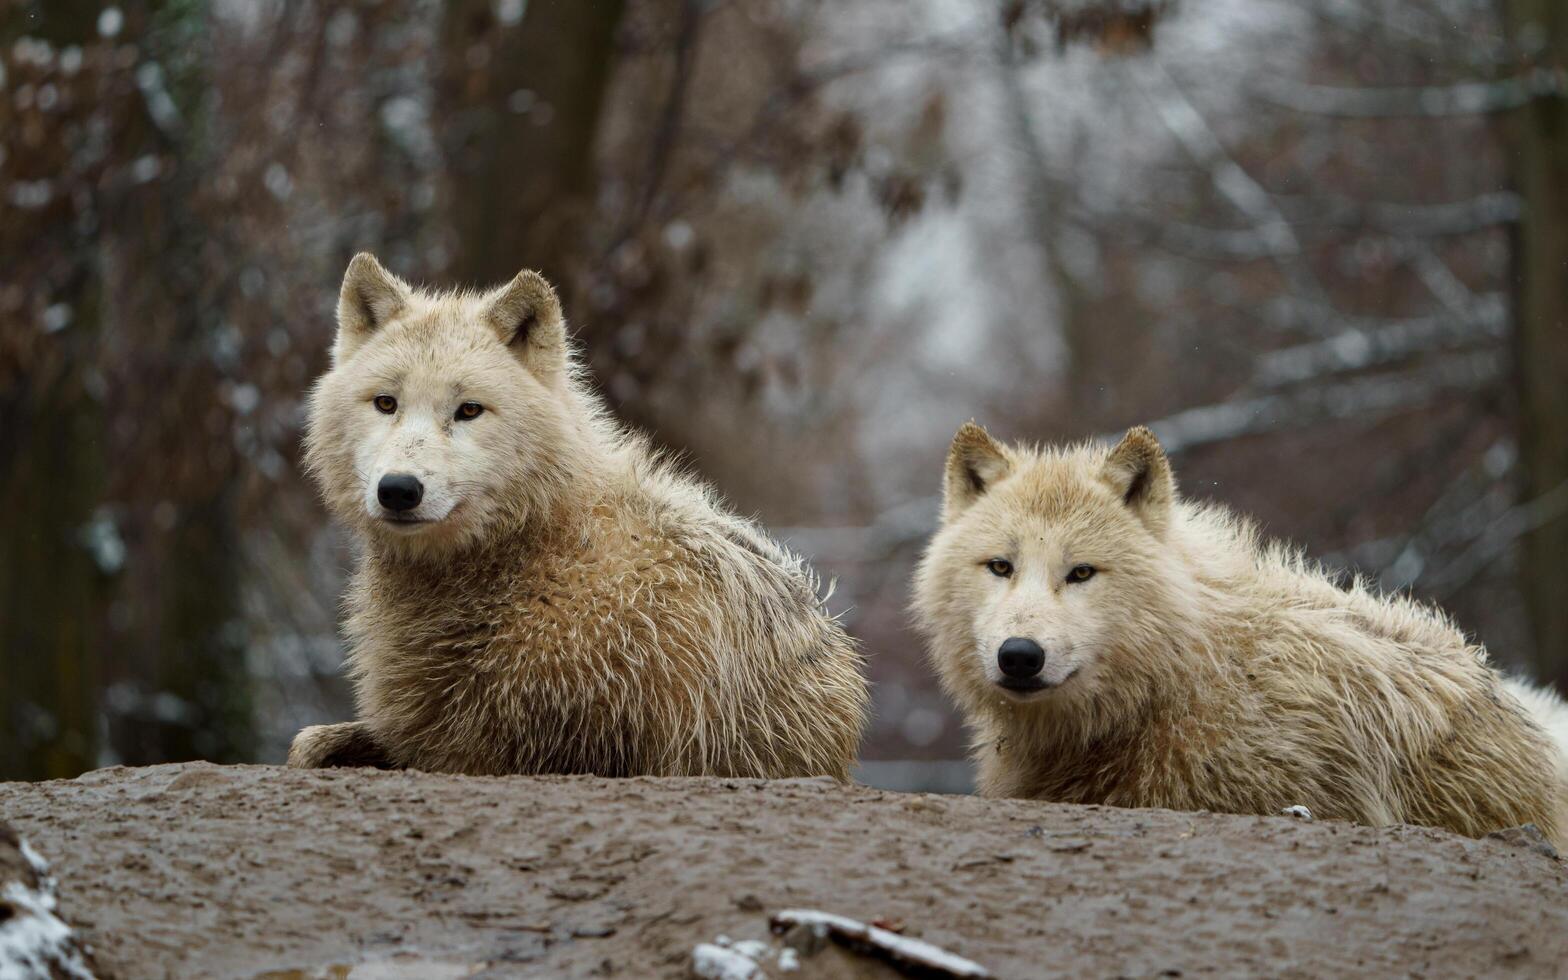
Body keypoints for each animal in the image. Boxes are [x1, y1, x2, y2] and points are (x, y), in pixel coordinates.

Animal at [288, 254, 865, 780]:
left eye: (469, 410)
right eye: (386, 403)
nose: (399, 490)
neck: (536, 556)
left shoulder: (527, 751)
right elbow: (308, 744)